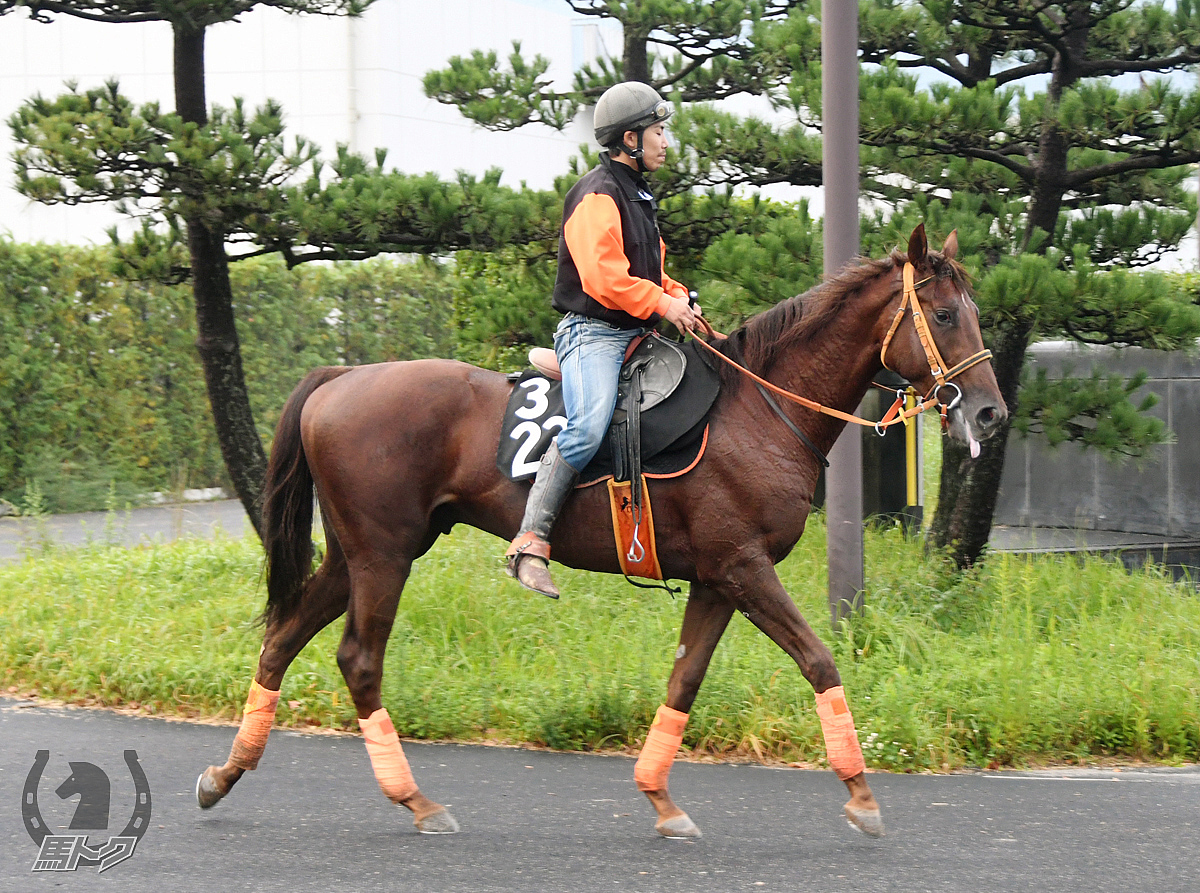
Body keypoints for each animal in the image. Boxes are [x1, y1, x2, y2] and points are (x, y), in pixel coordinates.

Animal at [196, 223, 1003, 835]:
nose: (991, 412)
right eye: (945, 313)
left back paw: (226, 772)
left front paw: (661, 798)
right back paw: (414, 799)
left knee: (282, 637)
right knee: (359, 659)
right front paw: (861, 794)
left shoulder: (717, 580)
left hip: (358, 553)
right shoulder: (744, 567)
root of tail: (340, 378)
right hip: (382, 556)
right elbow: (820, 660)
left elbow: (684, 679)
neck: (759, 409)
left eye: (974, 308)